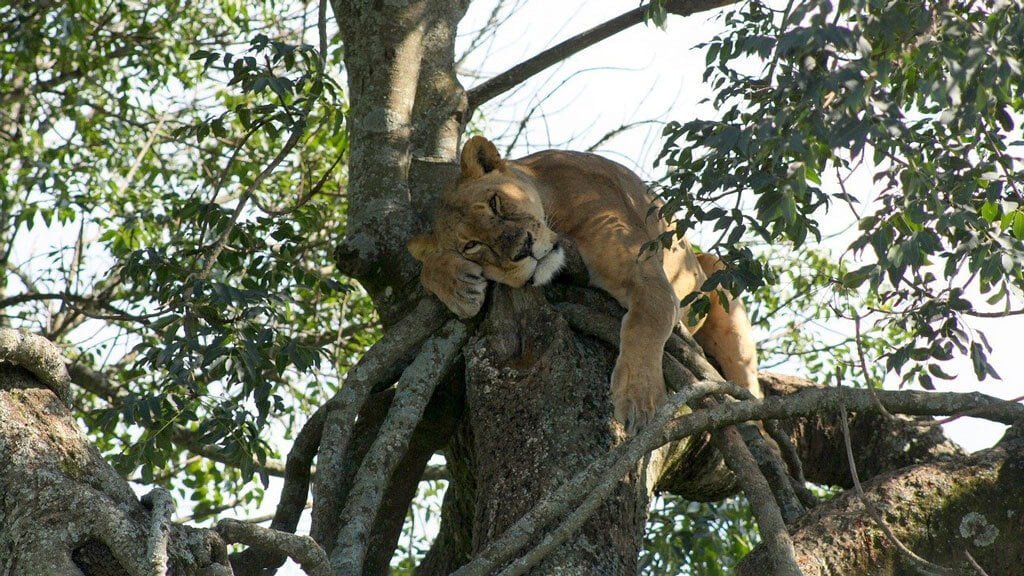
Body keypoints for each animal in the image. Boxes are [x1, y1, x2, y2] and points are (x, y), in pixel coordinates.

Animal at [408, 136, 760, 433]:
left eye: (496, 203)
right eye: (471, 245)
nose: (523, 247)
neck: (552, 204)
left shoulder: (644, 274)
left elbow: (645, 324)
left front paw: (639, 397)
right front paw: (454, 282)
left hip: (719, 279)